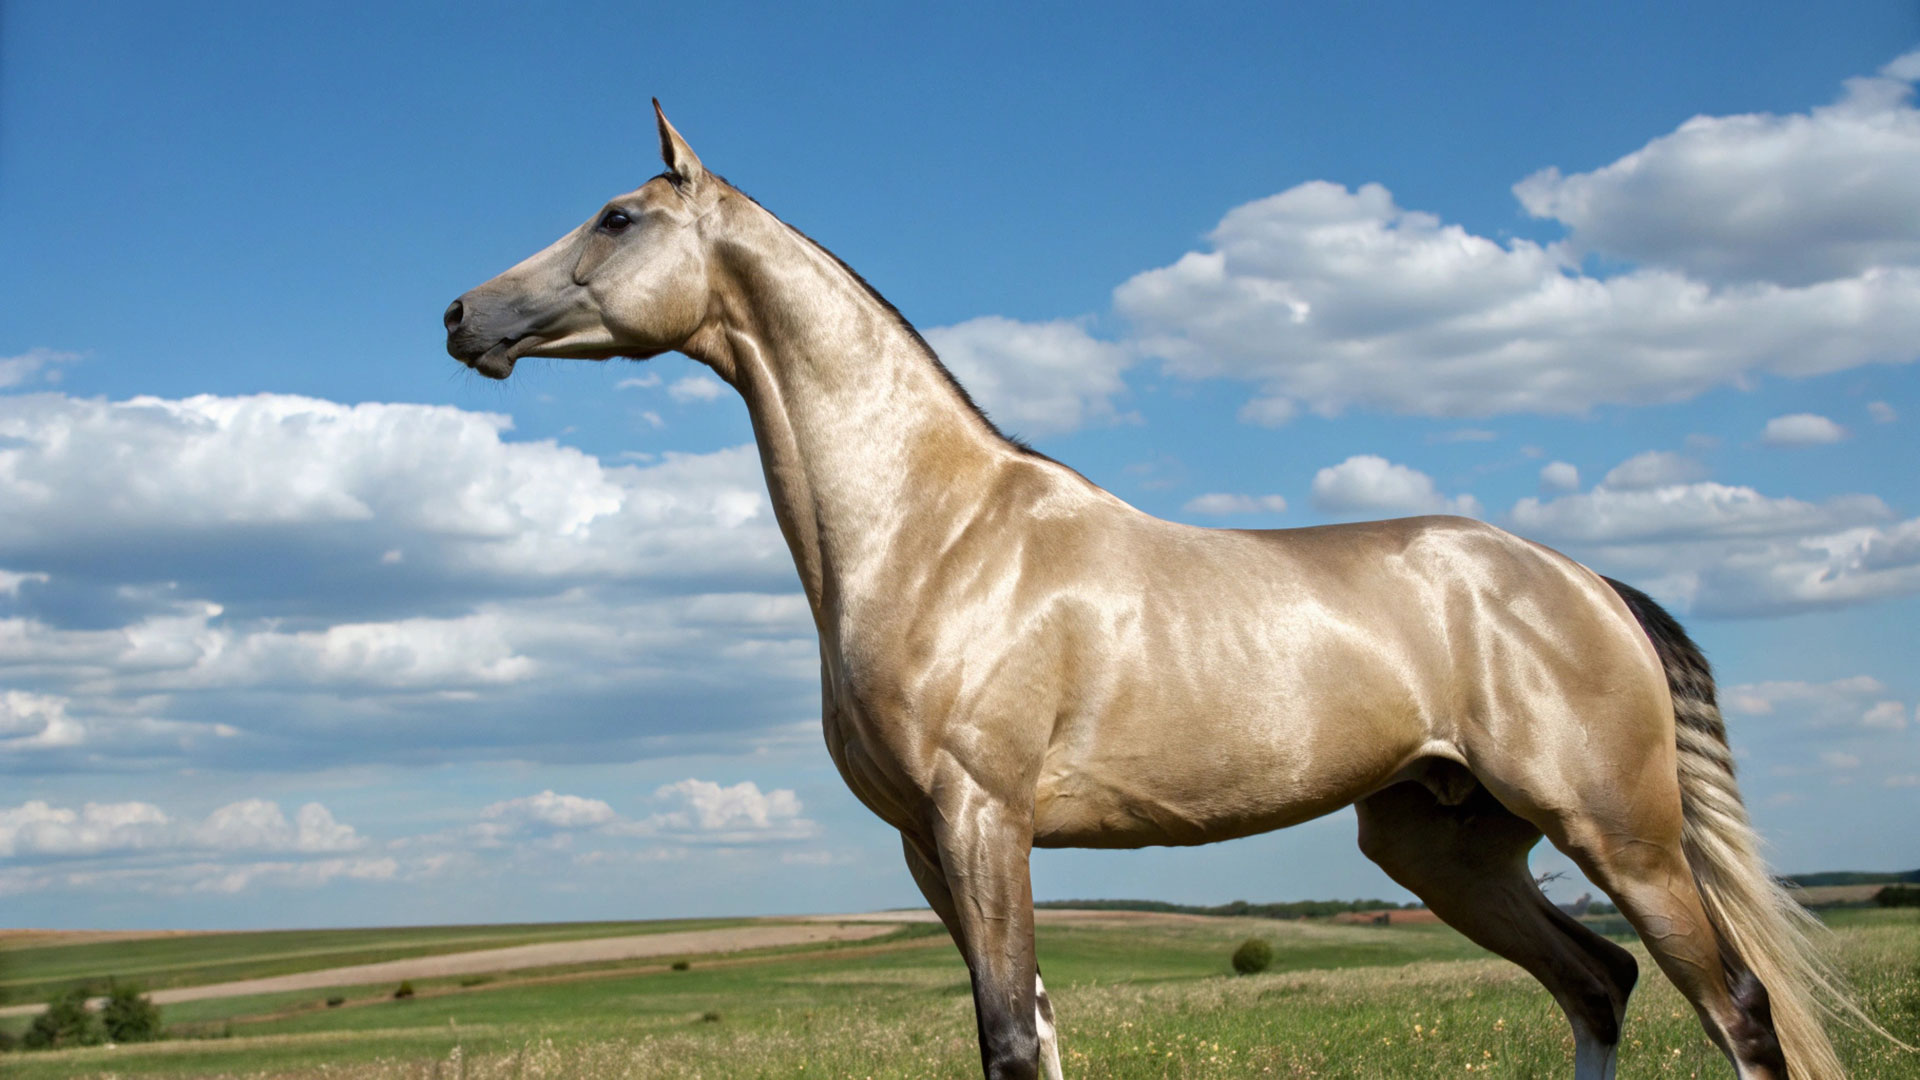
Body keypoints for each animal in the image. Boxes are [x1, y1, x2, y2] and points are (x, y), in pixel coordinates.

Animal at [449, 102, 1889, 1076]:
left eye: (619, 217)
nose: (464, 317)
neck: (935, 532)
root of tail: (1587, 583)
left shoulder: (982, 821)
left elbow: (1008, 1040)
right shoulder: (926, 843)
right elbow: (1030, 1033)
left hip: (1619, 832)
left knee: (1732, 1007)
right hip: (1443, 845)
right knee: (1597, 984)